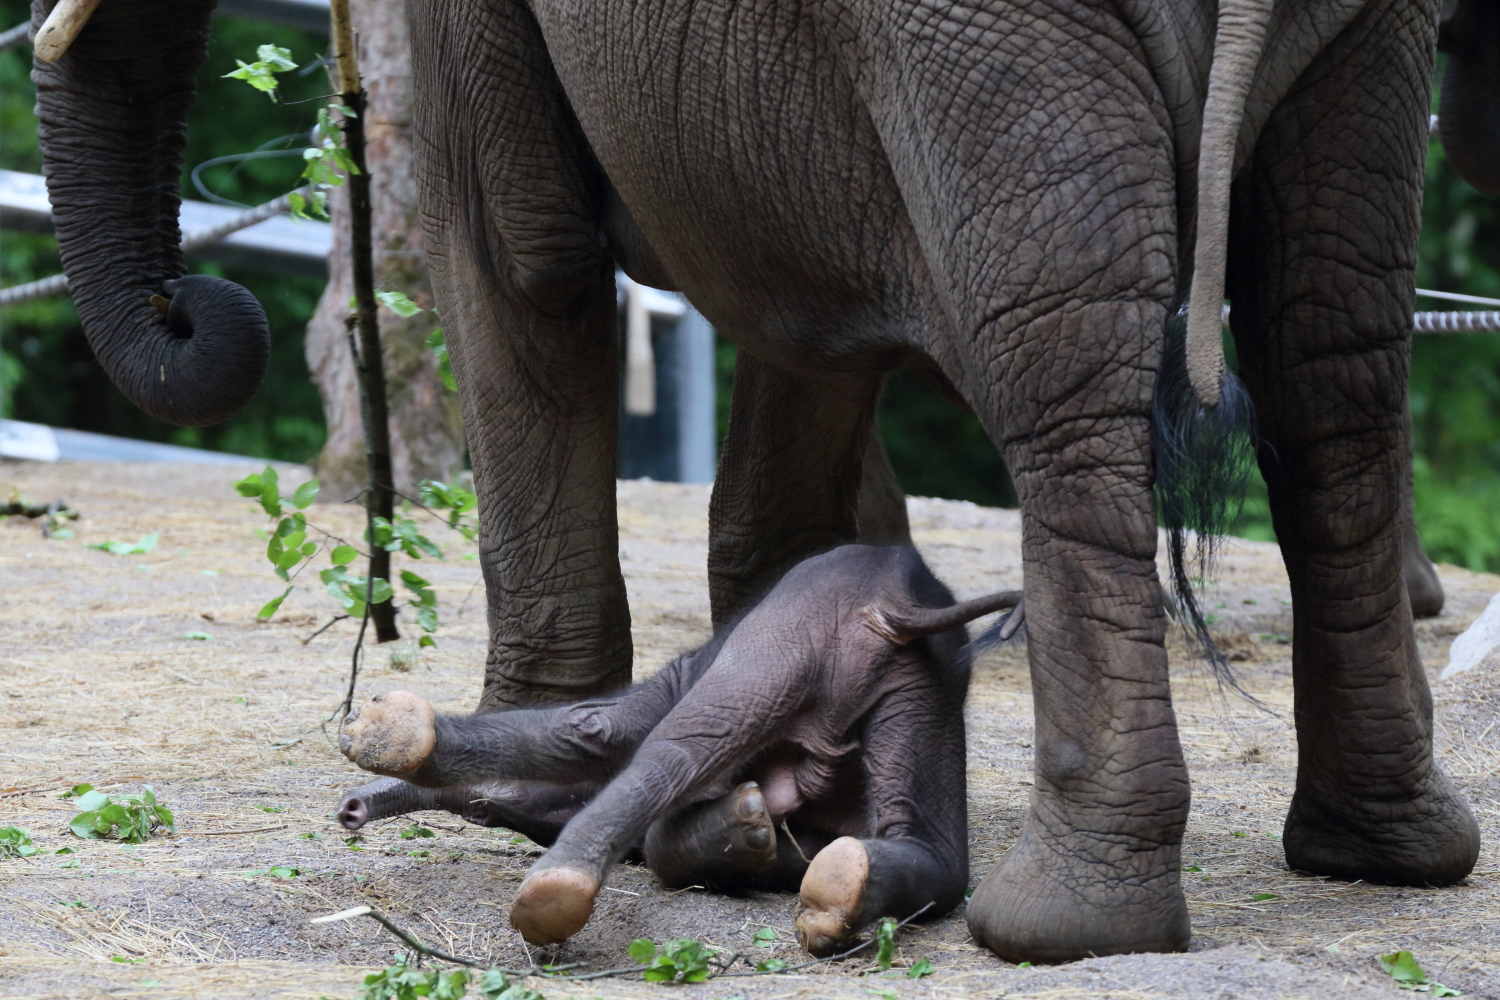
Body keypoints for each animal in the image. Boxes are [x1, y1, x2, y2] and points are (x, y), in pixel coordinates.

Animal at [339, 542, 1020, 953]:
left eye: (482, 814)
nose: (350, 811)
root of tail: (893, 605)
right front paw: (750, 829)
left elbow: (595, 731)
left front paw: (386, 734)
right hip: (925, 685)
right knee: (936, 851)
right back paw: (839, 890)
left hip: (785, 633)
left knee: (679, 751)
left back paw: (554, 895)